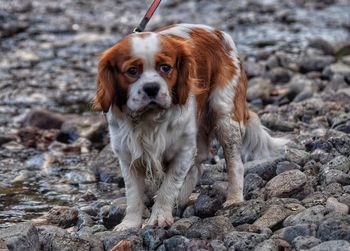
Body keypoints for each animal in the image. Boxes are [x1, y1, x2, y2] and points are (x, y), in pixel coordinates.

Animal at [93, 24, 288, 231]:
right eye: (132, 71)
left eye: (165, 68)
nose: (152, 88)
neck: (150, 119)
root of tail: (217, 32)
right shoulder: (127, 155)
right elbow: (133, 195)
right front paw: (129, 224)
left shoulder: (183, 151)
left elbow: (168, 186)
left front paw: (159, 217)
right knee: (198, 162)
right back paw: (182, 198)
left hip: (224, 114)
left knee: (235, 162)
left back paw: (234, 199)